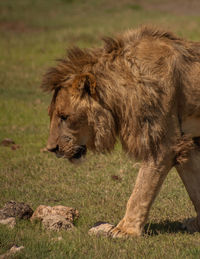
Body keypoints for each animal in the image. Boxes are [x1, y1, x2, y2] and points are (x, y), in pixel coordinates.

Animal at [41, 25, 200, 238]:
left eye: (64, 116)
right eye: (53, 115)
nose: (52, 148)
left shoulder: (164, 143)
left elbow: (141, 189)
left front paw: (125, 230)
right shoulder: (184, 141)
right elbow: (195, 186)